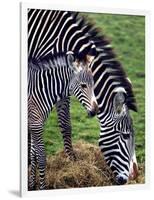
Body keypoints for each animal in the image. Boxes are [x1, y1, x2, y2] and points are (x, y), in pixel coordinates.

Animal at [28, 51, 98, 189]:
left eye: (93, 85)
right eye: (83, 85)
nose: (95, 111)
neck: (40, 90)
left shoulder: (35, 124)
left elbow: (33, 155)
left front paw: (32, 184)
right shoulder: (35, 124)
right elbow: (41, 157)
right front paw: (42, 187)